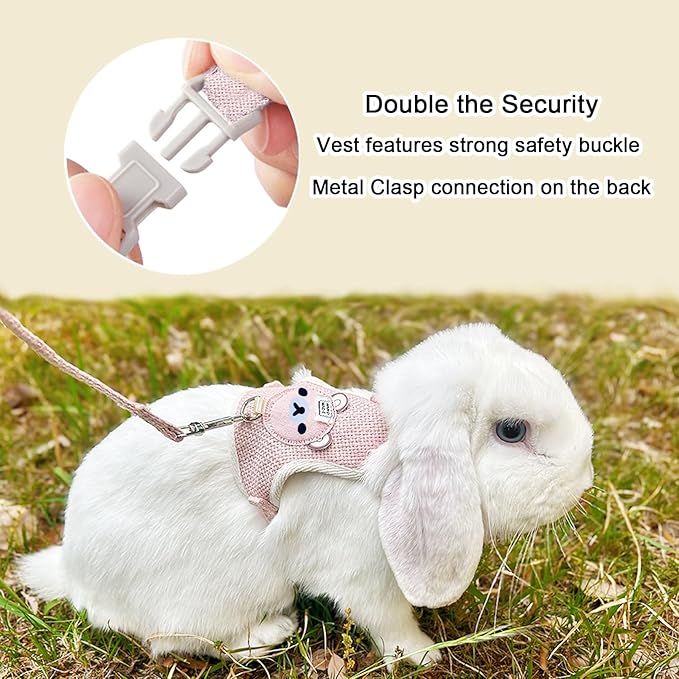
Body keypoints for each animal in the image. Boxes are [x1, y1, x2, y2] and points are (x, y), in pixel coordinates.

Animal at [18, 323, 594, 666]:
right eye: (512, 431)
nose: (585, 477)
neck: (380, 458)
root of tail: (75, 574)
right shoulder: (363, 576)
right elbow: (388, 620)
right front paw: (424, 654)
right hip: (221, 590)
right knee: (175, 641)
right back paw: (272, 632)